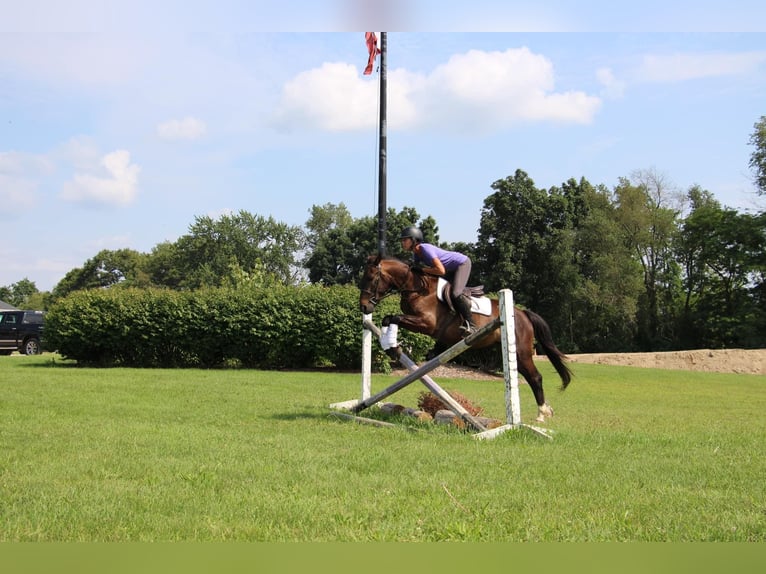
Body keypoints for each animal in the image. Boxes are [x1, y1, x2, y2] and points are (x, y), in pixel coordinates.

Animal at [358, 255, 568, 424]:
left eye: (371, 278)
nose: (364, 307)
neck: (417, 287)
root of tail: (522, 313)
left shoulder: (427, 323)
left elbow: (392, 318)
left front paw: (393, 348)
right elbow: (388, 319)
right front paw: (391, 346)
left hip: (520, 350)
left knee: (535, 377)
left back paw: (542, 413)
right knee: (530, 376)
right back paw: (545, 410)